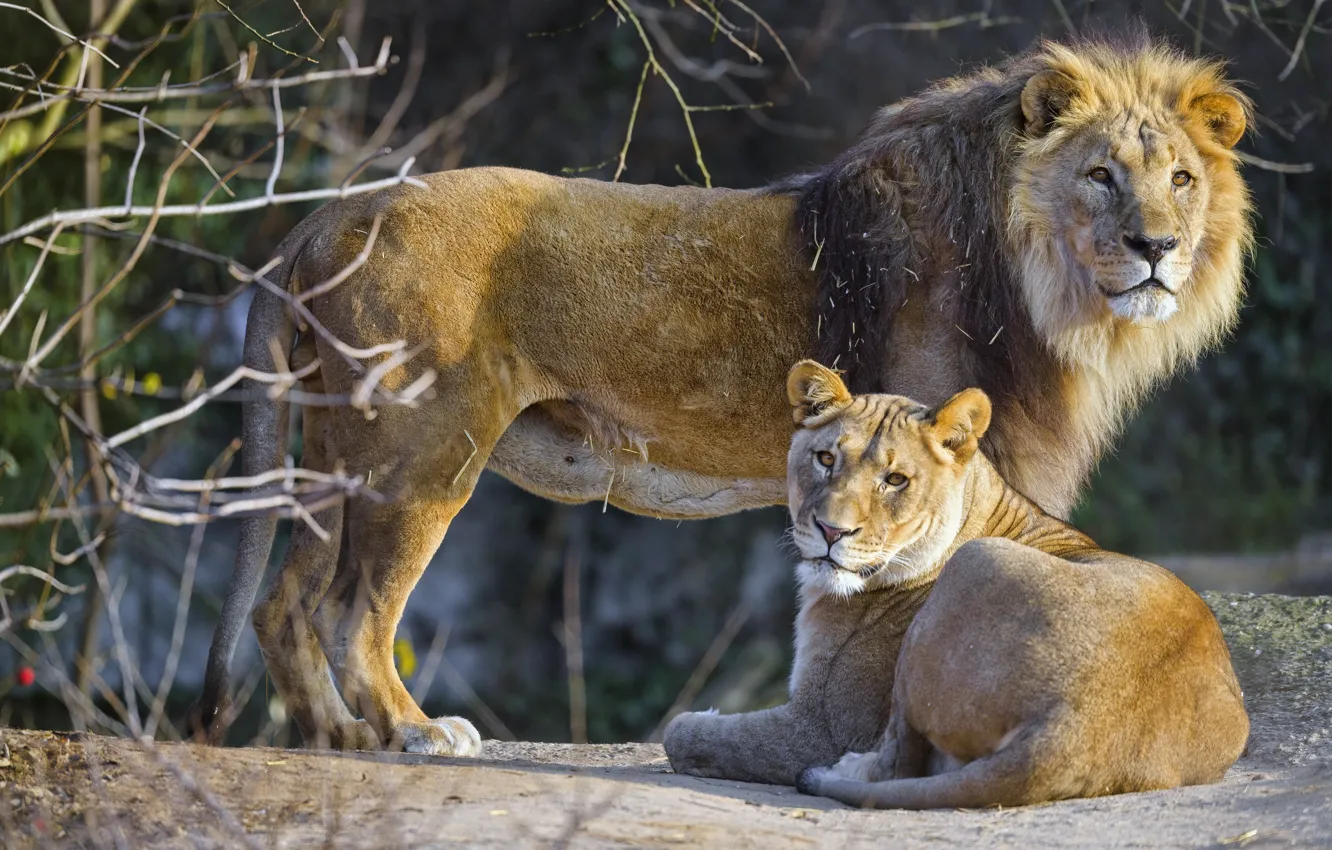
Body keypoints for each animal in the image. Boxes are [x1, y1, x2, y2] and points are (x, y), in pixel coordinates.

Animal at [667, 361, 1249, 798]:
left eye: (895, 480)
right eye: (826, 458)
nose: (832, 531)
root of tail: (1074, 725)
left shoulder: (823, 725)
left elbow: (684, 734)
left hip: (973, 571)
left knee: (898, 764)